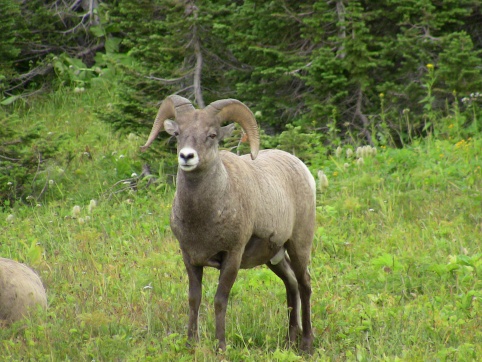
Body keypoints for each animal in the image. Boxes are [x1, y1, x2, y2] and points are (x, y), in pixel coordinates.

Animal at [142, 94, 316, 352]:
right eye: (178, 133)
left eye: (212, 135)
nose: (187, 156)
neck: (203, 219)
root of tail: (303, 169)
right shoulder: (190, 258)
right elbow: (194, 299)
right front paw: (190, 344)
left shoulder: (232, 257)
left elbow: (219, 301)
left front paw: (220, 347)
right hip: (274, 257)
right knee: (291, 283)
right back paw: (290, 339)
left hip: (299, 246)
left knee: (305, 284)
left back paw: (306, 344)